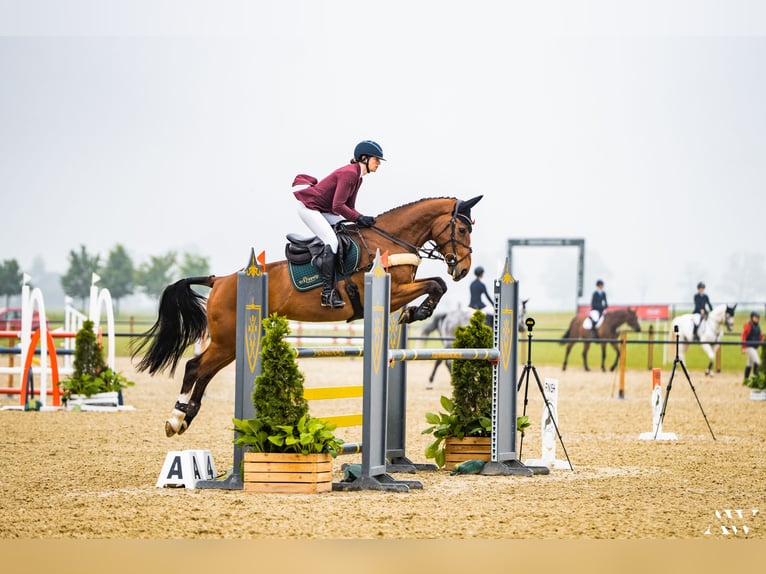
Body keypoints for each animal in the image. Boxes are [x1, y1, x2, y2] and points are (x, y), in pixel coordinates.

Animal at [130, 196, 480, 438]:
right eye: (462, 229)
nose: (463, 269)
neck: (389, 241)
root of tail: (220, 280)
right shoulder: (392, 291)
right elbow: (436, 284)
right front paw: (416, 311)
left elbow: (437, 284)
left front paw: (416, 311)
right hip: (228, 339)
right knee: (194, 367)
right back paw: (175, 419)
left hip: (230, 345)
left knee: (205, 372)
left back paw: (187, 417)